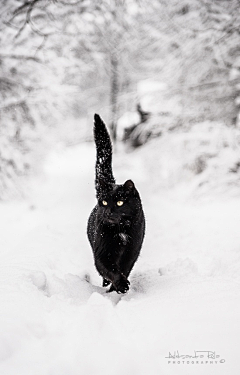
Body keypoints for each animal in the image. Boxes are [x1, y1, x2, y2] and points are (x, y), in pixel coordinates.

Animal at [87, 113, 145, 296]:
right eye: (105, 202)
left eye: (119, 202)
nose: (107, 212)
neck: (121, 231)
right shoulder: (102, 253)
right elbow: (110, 270)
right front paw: (120, 286)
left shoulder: (132, 251)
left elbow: (124, 269)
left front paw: (117, 289)